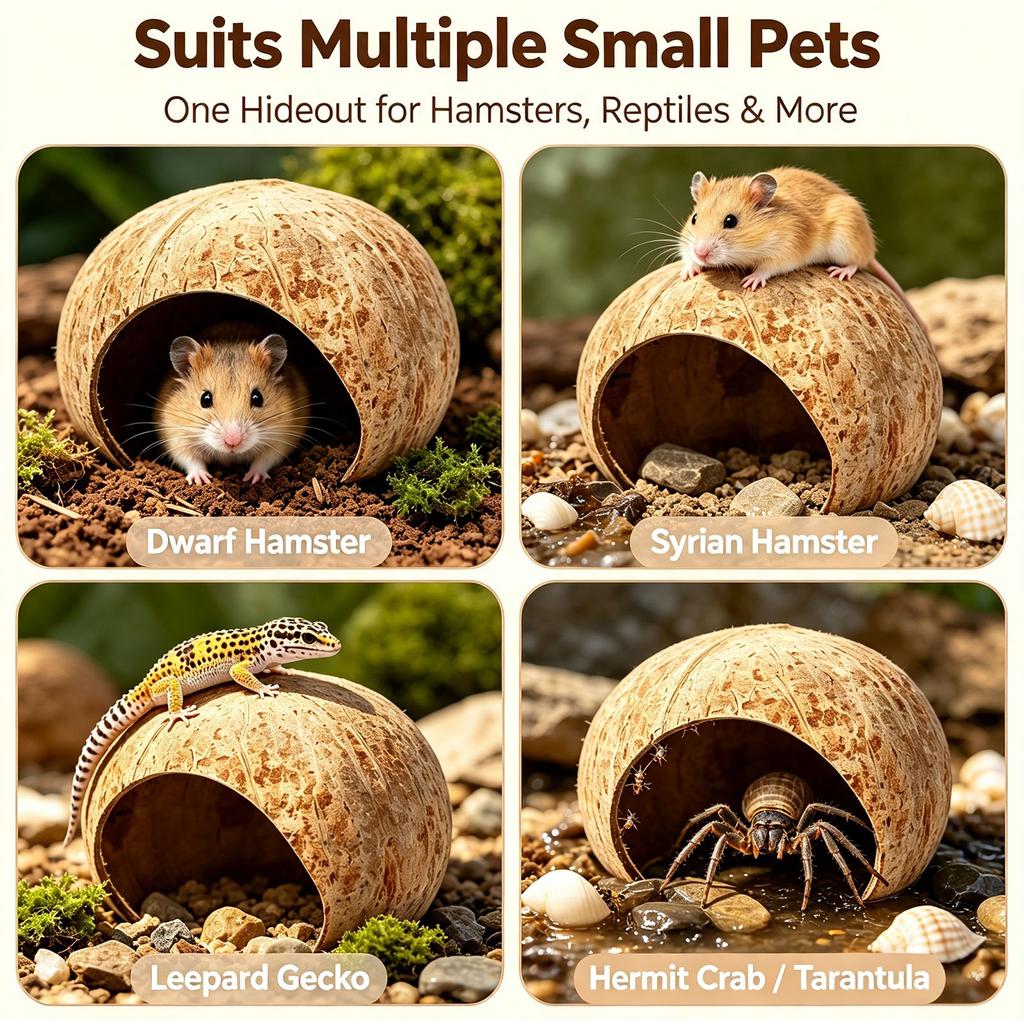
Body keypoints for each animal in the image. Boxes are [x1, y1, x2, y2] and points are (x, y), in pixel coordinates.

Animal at [155, 325, 310, 485]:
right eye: (205, 399)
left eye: (257, 398)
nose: (233, 442)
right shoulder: (175, 436)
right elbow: (191, 460)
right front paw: (203, 480)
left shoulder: (282, 437)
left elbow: (264, 460)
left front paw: (252, 479)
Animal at [678, 167, 924, 327]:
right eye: (694, 218)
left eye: (731, 221)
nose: (701, 253)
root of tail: (869, 246)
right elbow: (686, 256)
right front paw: (688, 272)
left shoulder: (786, 250)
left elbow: (767, 268)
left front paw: (750, 281)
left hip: (847, 238)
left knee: (858, 262)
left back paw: (840, 272)